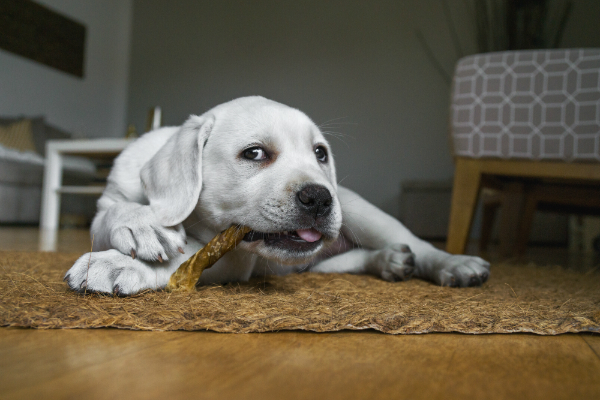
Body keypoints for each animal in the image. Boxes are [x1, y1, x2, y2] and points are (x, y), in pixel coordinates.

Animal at [65, 95, 490, 296]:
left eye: (320, 154)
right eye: (254, 153)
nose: (321, 198)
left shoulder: (232, 258)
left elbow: (188, 257)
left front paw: (119, 264)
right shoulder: (109, 202)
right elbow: (114, 213)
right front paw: (141, 225)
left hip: (366, 215)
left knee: (418, 244)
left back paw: (455, 264)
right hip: (316, 263)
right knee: (351, 259)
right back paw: (389, 261)